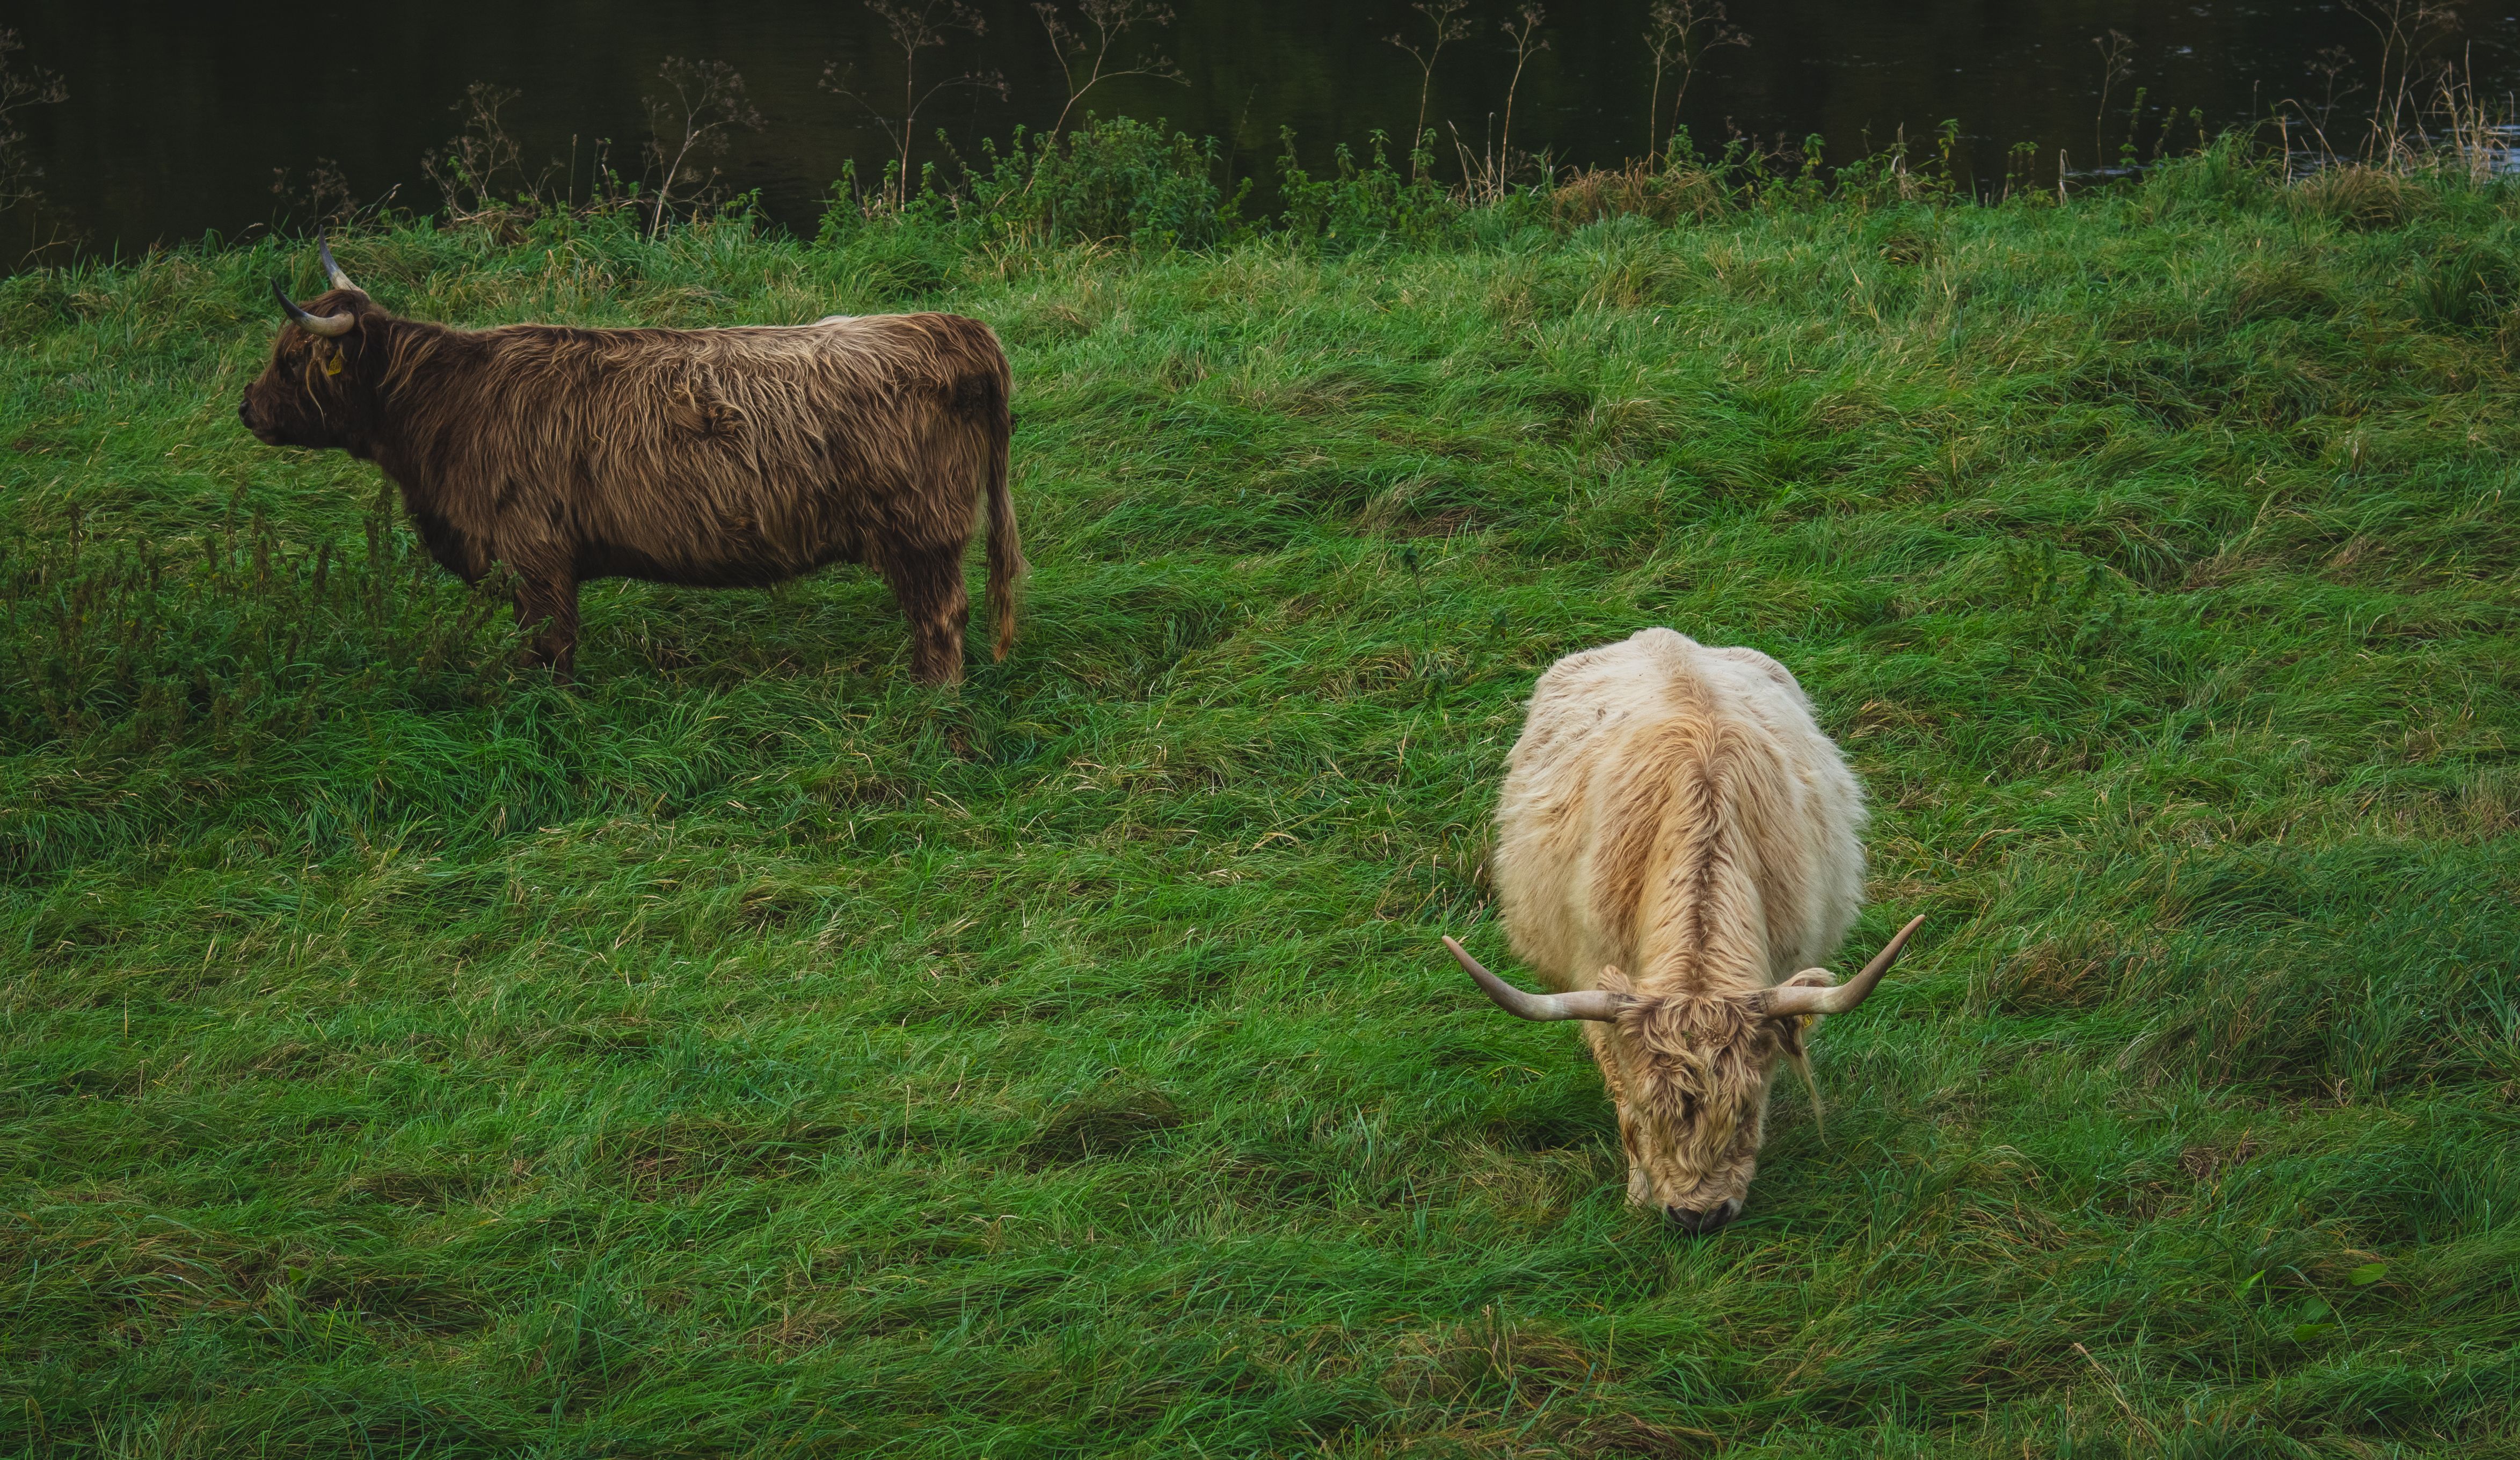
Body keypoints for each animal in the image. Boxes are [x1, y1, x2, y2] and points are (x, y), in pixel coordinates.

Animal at [238, 241, 1022, 685]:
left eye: (291, 360)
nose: (246, 407)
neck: (448, 404)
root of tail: (954, 328)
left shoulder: (535, 554)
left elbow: (546, 644)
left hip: (920, 531)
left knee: (942, 614)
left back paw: (930, 695)